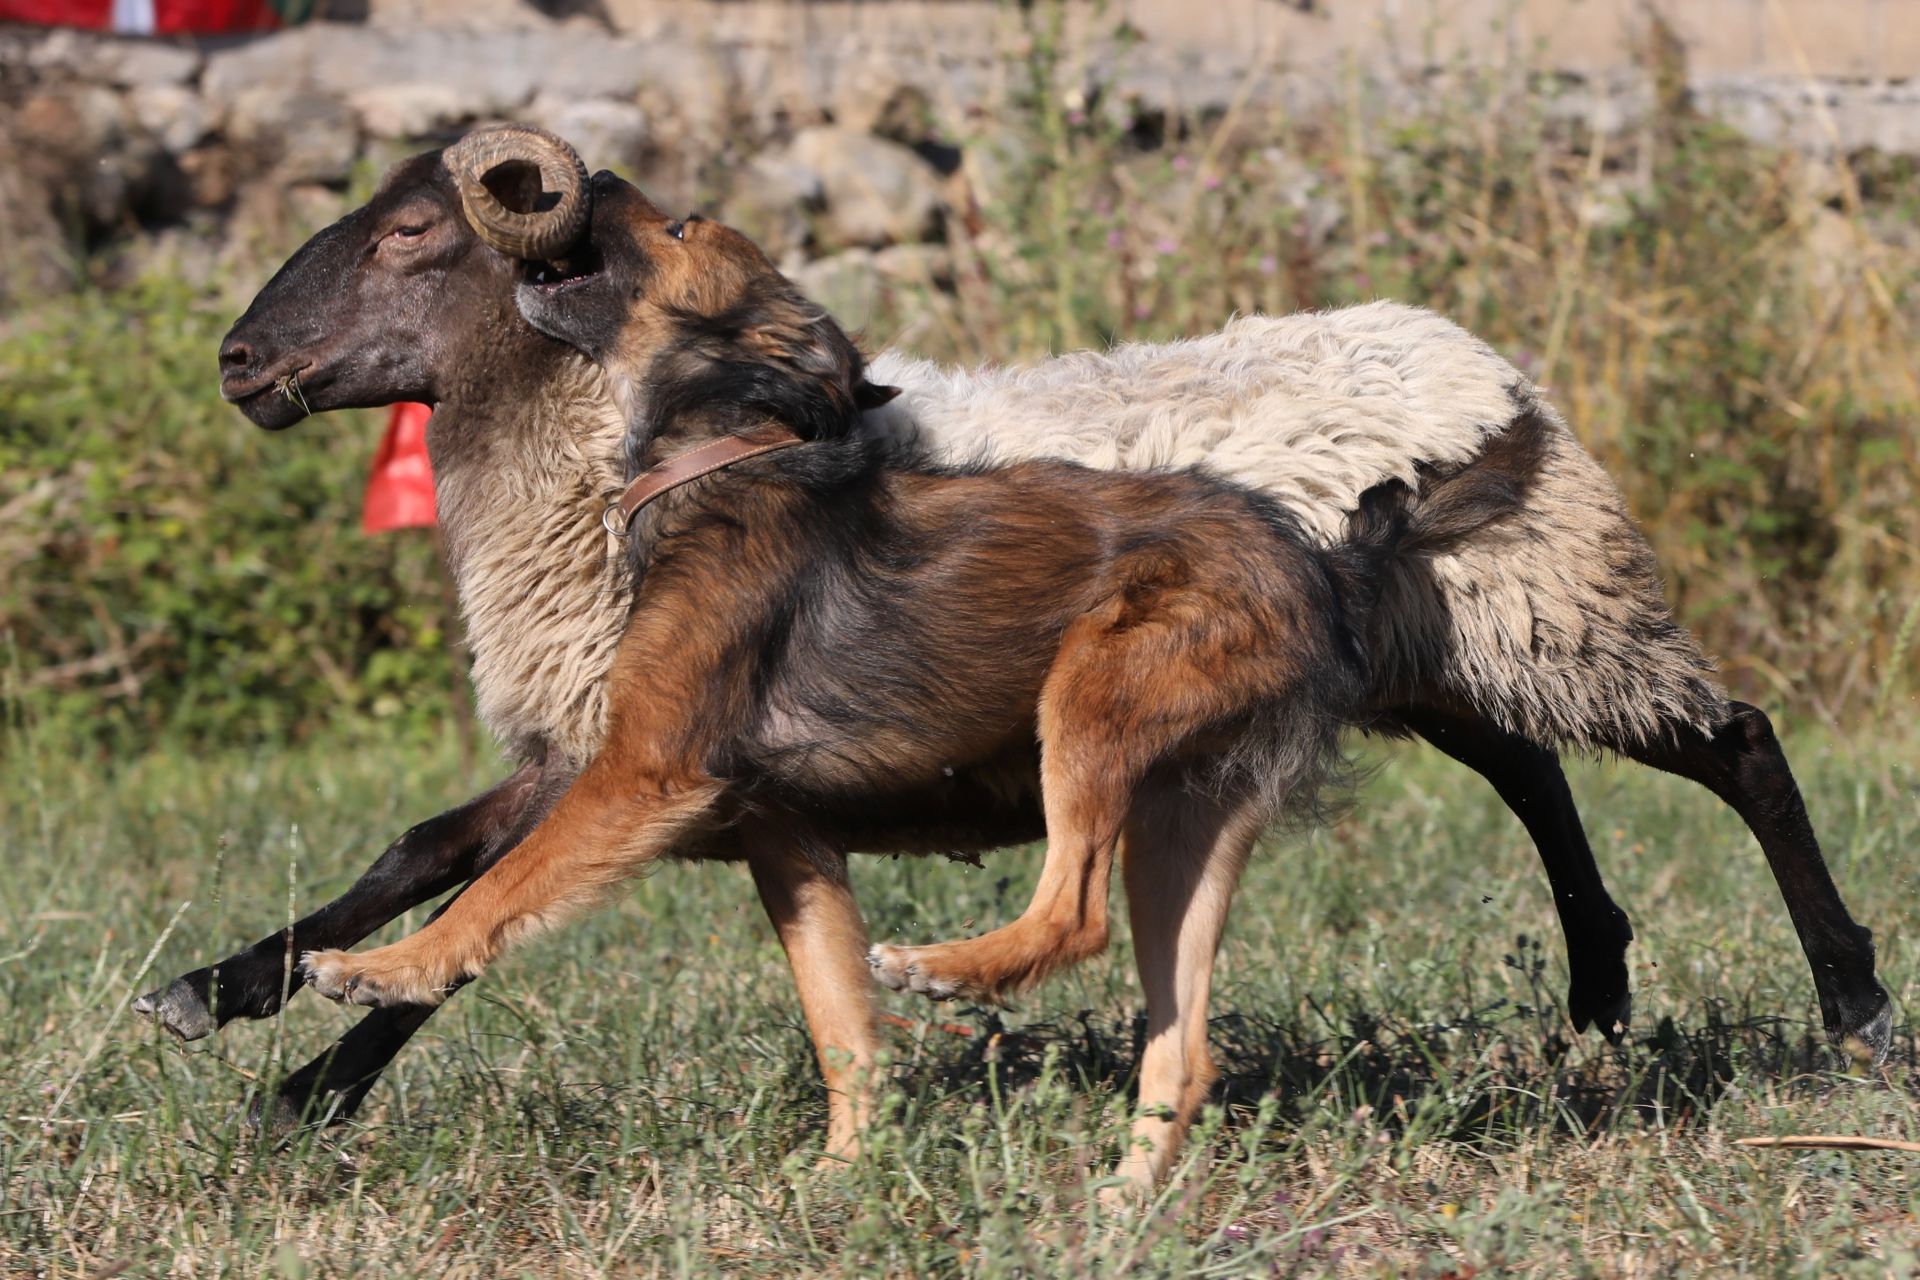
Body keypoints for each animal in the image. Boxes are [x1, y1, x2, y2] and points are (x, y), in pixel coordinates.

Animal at [303, 172, 1528, 1189]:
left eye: (682, 225)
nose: (591, 174)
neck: (723, 454)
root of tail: (1322, 561)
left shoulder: (643, 773)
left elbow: (499, 891)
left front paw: (384, 967)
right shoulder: (784, 833)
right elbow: (840, 1020)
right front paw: (844, 1178)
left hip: (1093, 693)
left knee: (1073, 910)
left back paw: (948, 971)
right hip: (1187, 819)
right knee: (1180, 1040)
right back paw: (1125, 1203)